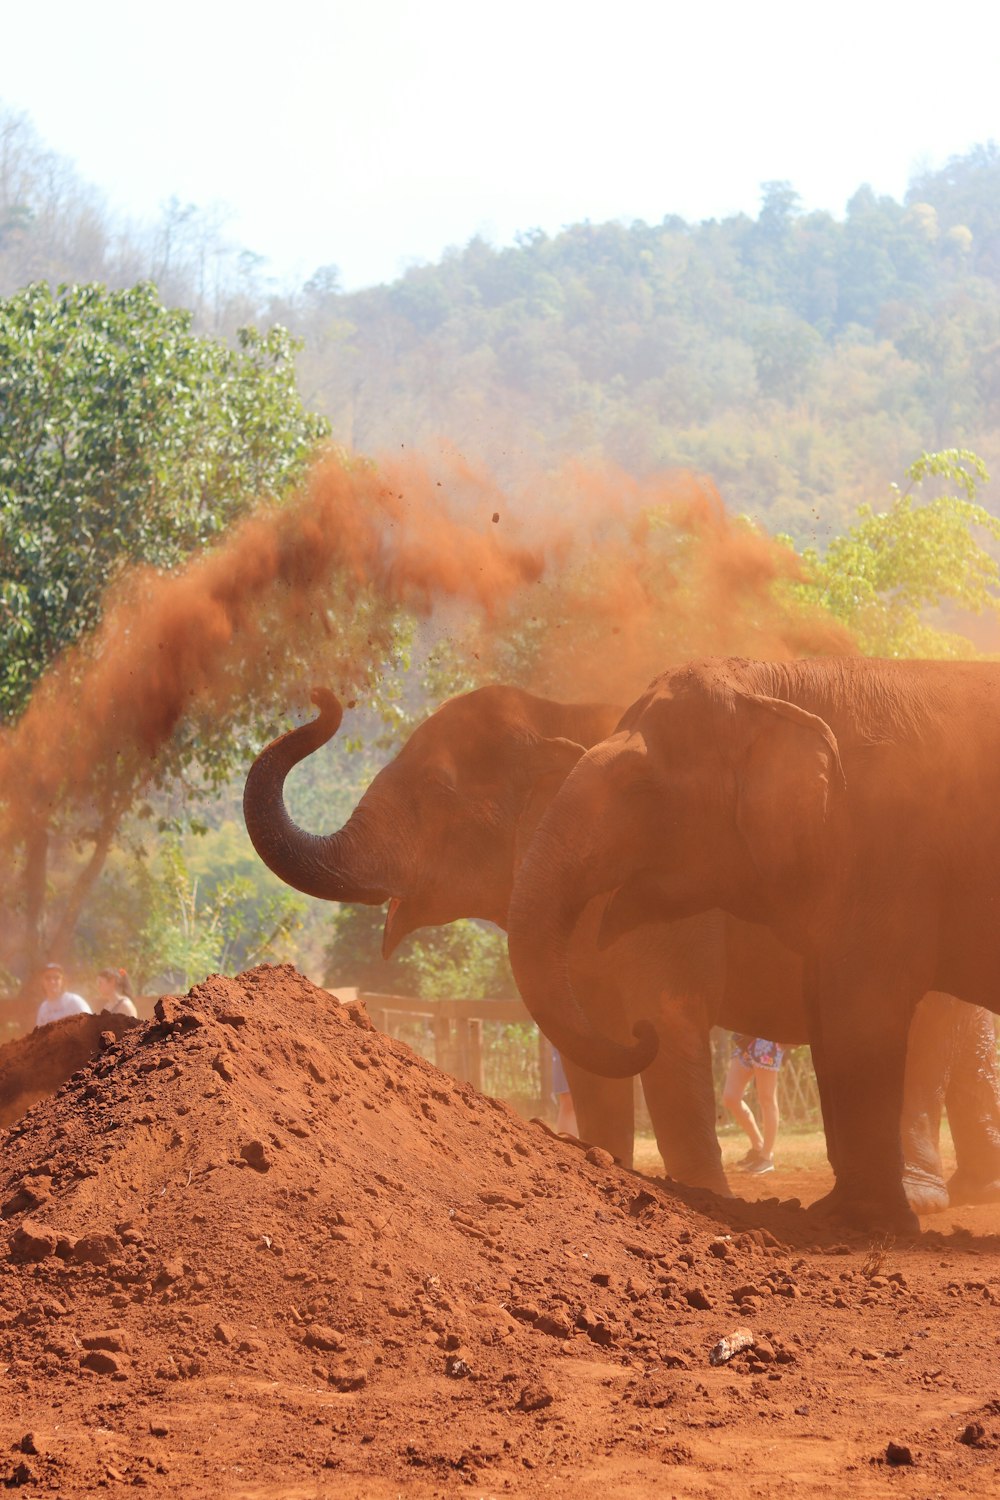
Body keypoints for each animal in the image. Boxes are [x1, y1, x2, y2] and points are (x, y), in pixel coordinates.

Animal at [245, 681, 1000, 1218]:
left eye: (436, 792)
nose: (322, 693)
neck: (555, 709)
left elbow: (669, 1027)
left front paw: (708, 1196)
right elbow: (588, 1051)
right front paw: (602, 1166)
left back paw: (924, 1197)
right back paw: (969, 1190)